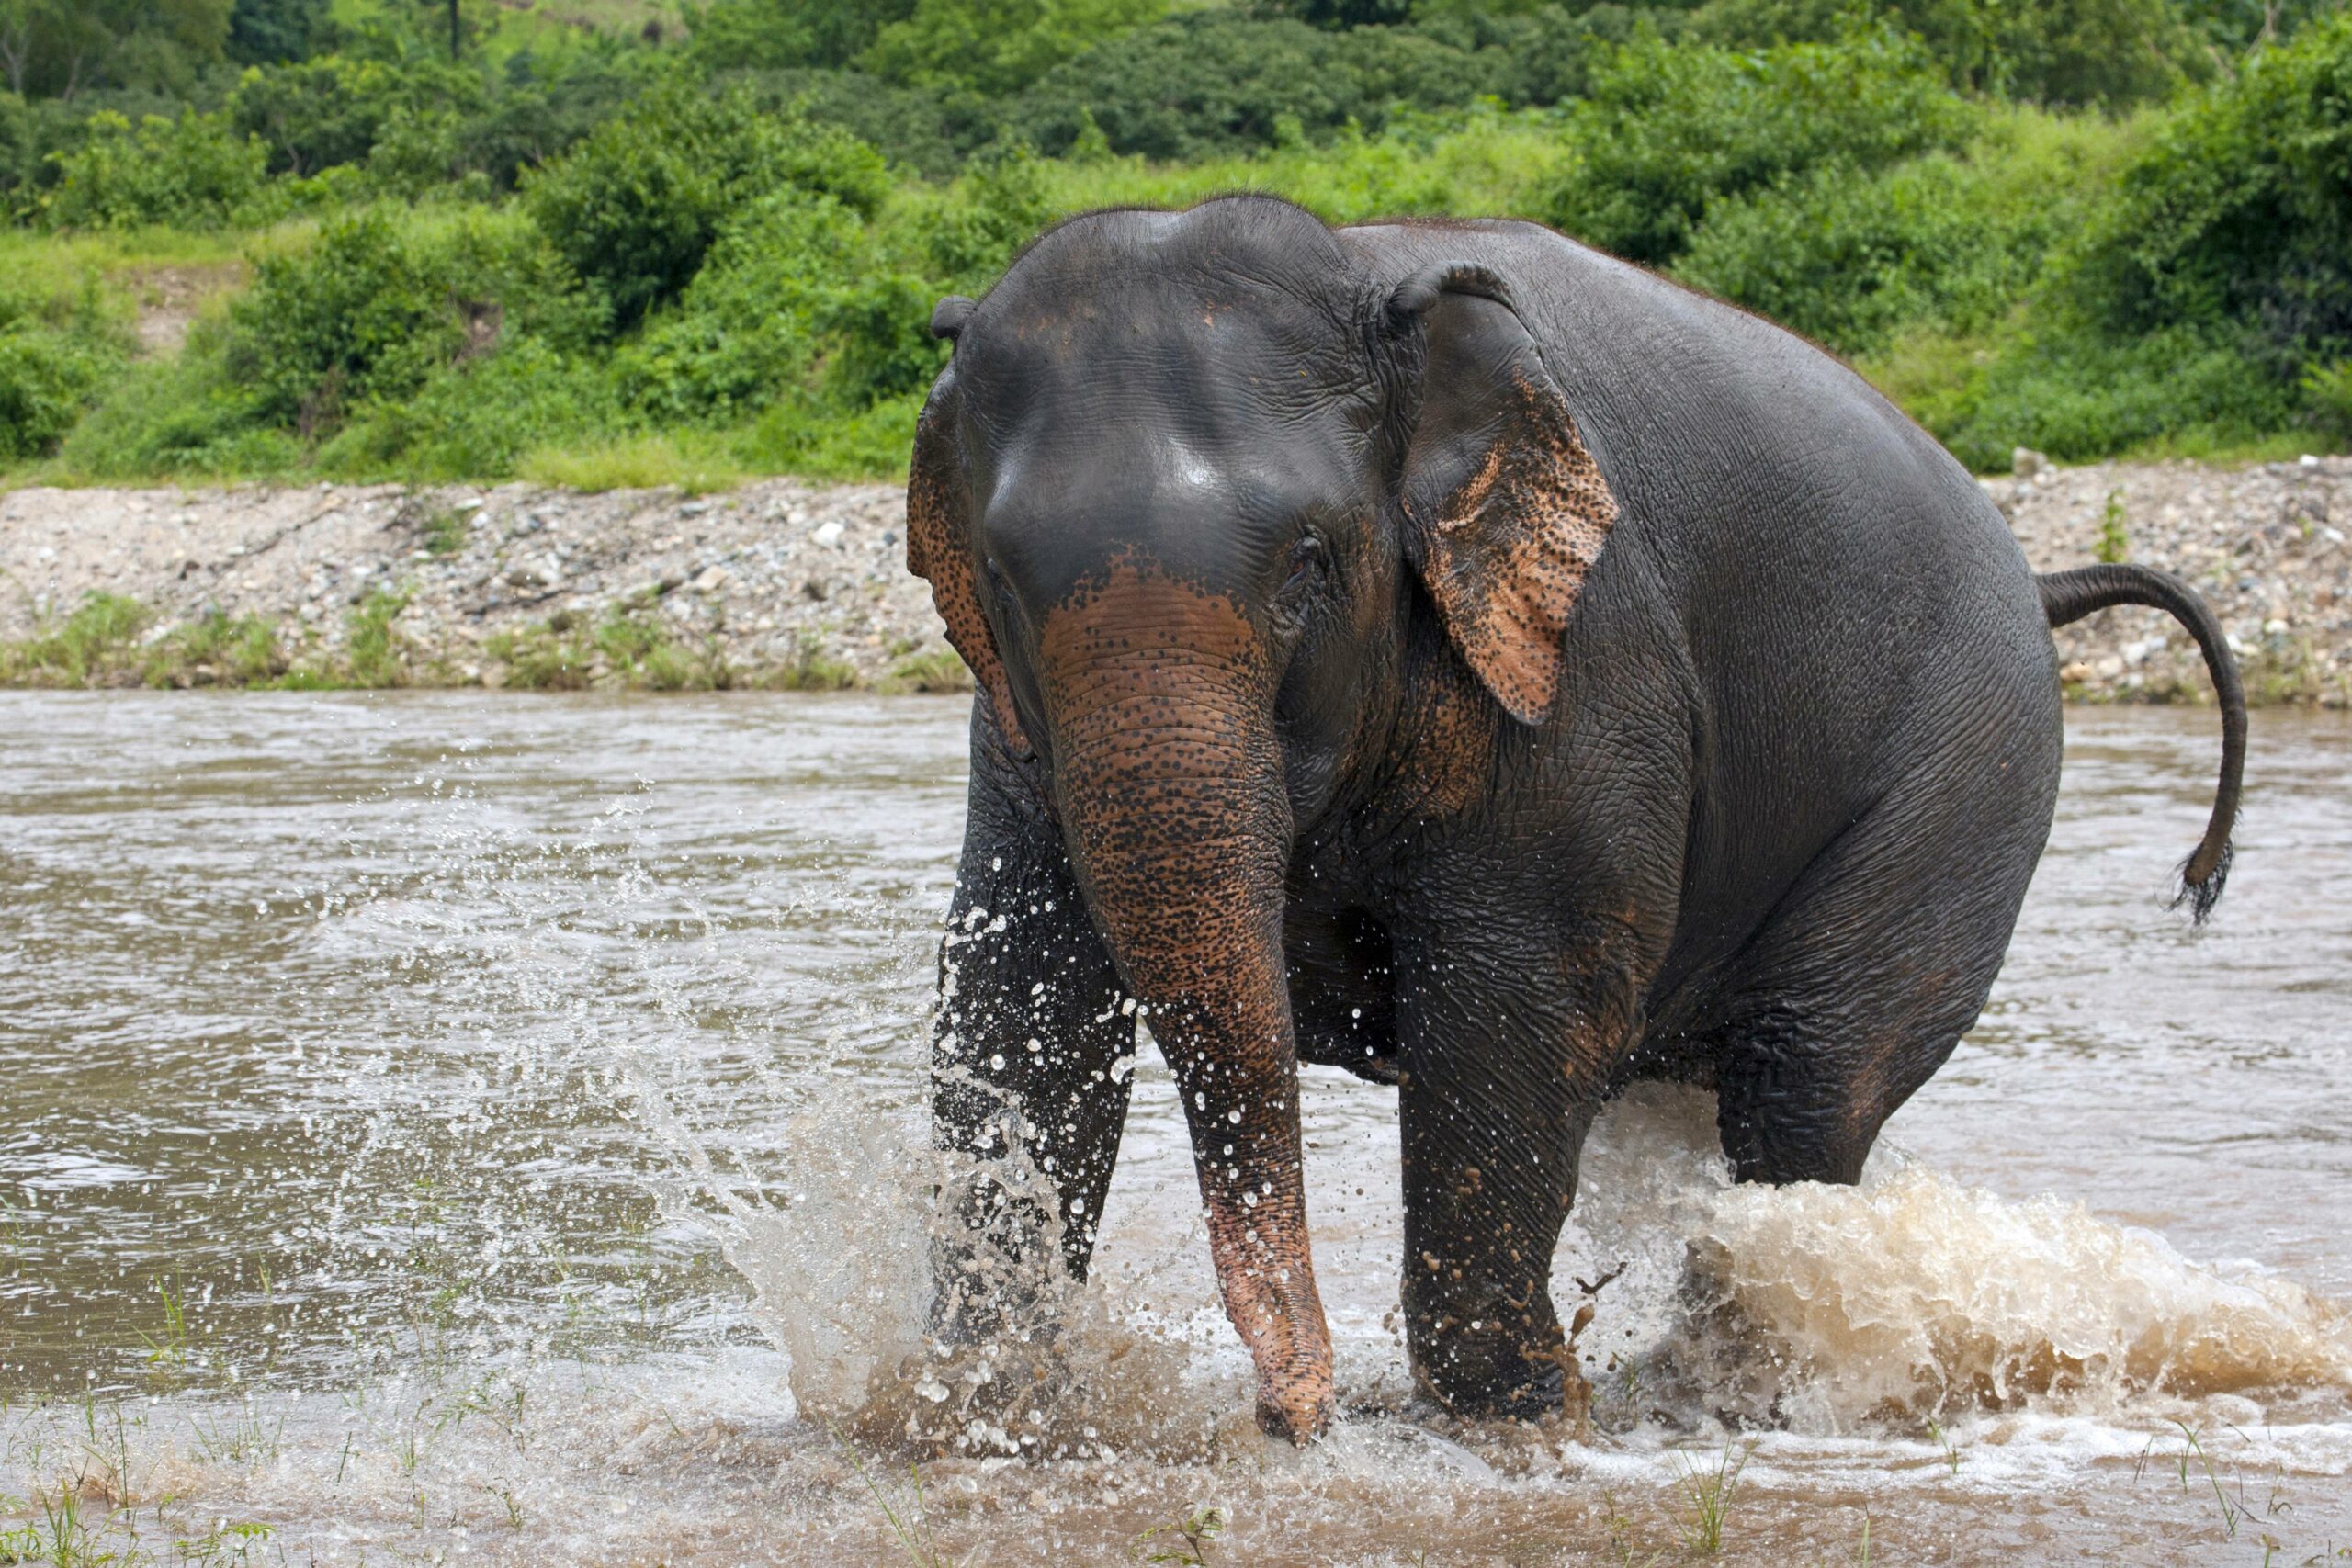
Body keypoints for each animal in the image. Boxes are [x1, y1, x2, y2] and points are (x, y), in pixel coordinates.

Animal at [898, 196, 2239, 1448]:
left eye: (1310, 563)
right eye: (999, 580)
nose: (1290, 1417)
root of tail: (2042, 579)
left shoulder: (1587, 663)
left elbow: (1519, 1003)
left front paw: (1521, 1418)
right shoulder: (1012, 732)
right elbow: (1019, 1001)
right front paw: (985, 1409)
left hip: (1962, 780)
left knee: (1809, 1086)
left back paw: (1742, 1396)